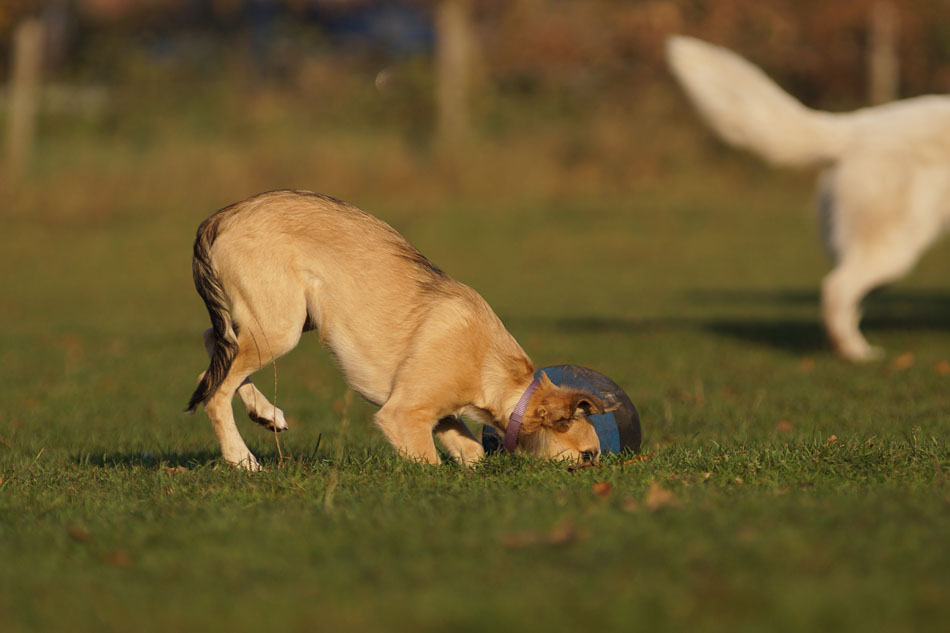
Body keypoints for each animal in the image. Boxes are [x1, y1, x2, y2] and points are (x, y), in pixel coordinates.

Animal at [186, 190, 606, 470]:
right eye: (588, 456)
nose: (602, 475)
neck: (496, 373)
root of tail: (222, 215)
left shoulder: (438, 413)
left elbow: (471, 451)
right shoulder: (402, 415)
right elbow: (430, 465)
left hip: (285, 320)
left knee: (213, 351)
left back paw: (265, 412)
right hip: (280, 327)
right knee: (216, 390)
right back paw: (242, 460)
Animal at [667, 35, 950, 361]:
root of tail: (858, 125)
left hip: (881, 259)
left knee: (848, 299)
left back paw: (846, 348)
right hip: (894, 250)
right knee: (835, 289)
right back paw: (855, 353)